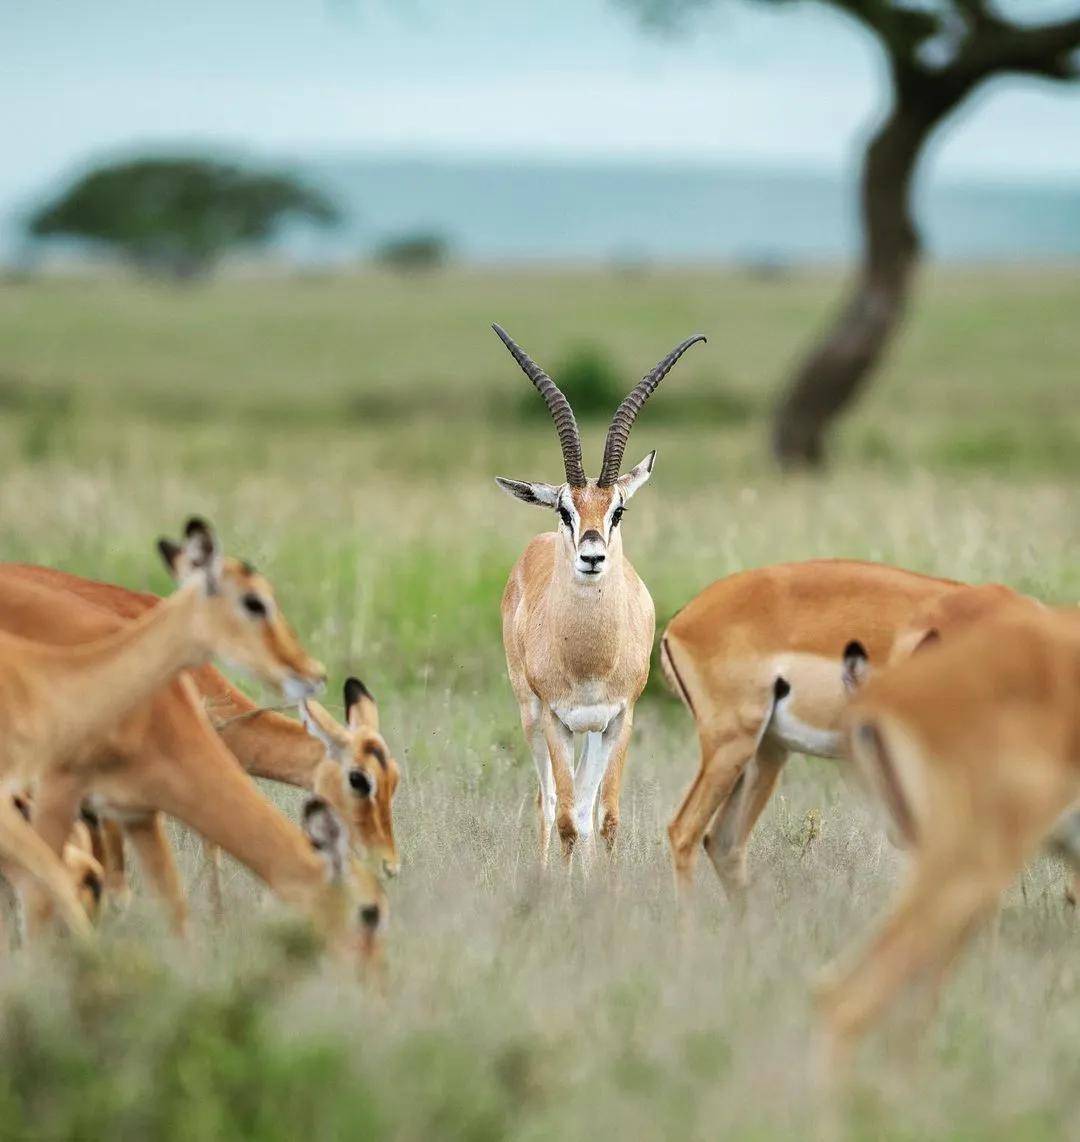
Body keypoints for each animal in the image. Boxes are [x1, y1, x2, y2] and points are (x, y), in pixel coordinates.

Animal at [493, 322, 703, 858]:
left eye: (618, 509)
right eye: (564, 509)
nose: (592, 556)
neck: (589, 657)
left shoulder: (619, 719)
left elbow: (605, 819)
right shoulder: (555, 719)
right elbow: (567, 819)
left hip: (590, 733)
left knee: (585, 809)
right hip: (531, 715)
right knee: (548, 804)